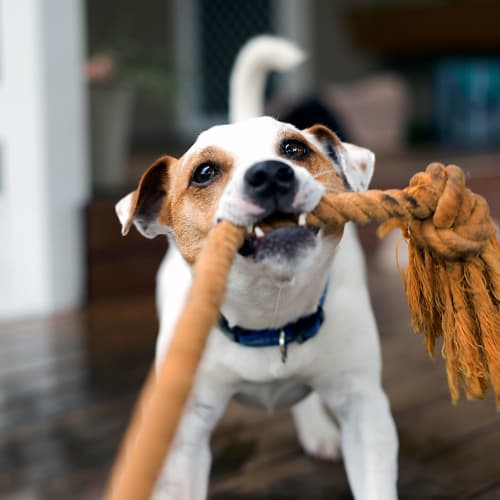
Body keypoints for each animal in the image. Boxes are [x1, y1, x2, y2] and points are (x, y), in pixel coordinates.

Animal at [115, 36, 396, 500]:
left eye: (295, 149)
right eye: (204, 172)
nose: (270, 174)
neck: (271, 317)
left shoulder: (364, 409)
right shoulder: (187, 435)